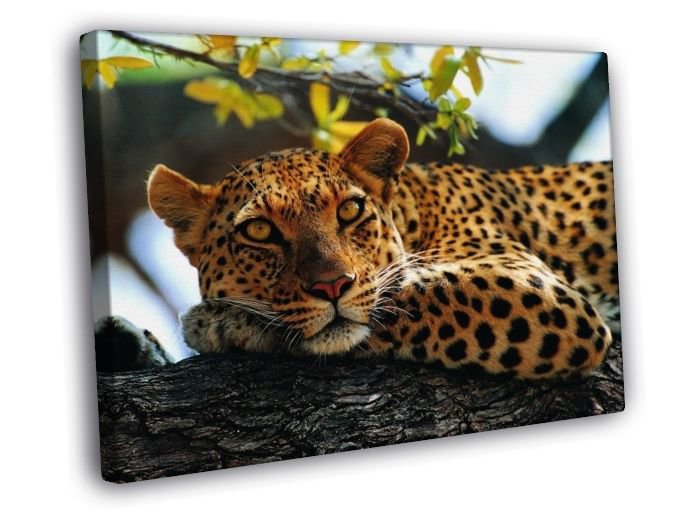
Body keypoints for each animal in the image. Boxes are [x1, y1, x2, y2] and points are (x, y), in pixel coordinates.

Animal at [98, 118, 619, 379]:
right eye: (260, 232)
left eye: (349, 211)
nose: (332, 286)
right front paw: (128, 345)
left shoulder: (540, 291)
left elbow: (404, 297)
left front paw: (222, 322)